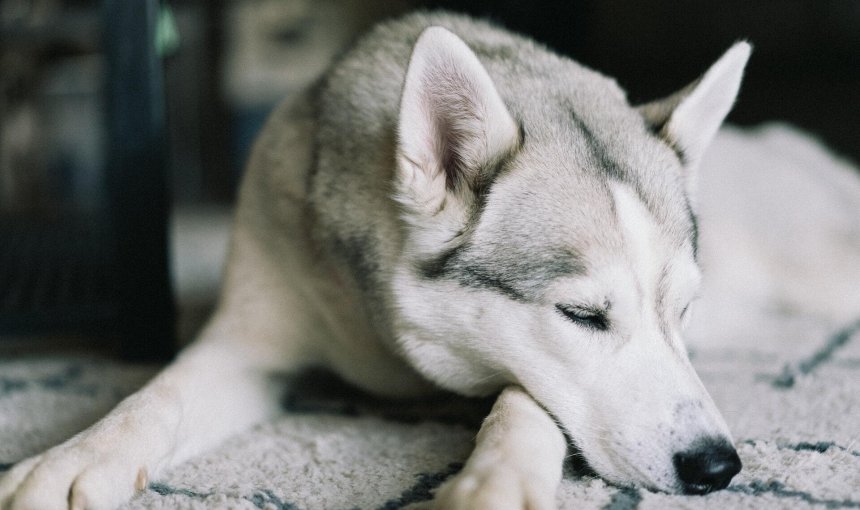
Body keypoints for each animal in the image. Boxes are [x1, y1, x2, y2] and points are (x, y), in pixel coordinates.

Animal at [0, 11, 748, 510]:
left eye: (683, 309)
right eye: (583, 314)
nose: (718, 467)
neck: (386, 340)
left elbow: (523, 400)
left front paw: (497, 479)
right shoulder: (248, 345)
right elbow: (153, 400)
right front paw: (73, 459)